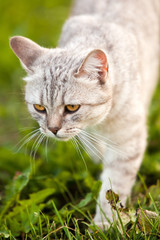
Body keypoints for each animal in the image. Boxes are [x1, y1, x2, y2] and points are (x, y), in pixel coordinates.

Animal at [9, 0, 159, 230]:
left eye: (72, 107)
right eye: (39, 108)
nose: (52, 129)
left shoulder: (128, 141)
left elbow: (113, 188)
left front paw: (106, 225)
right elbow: (93, 146)